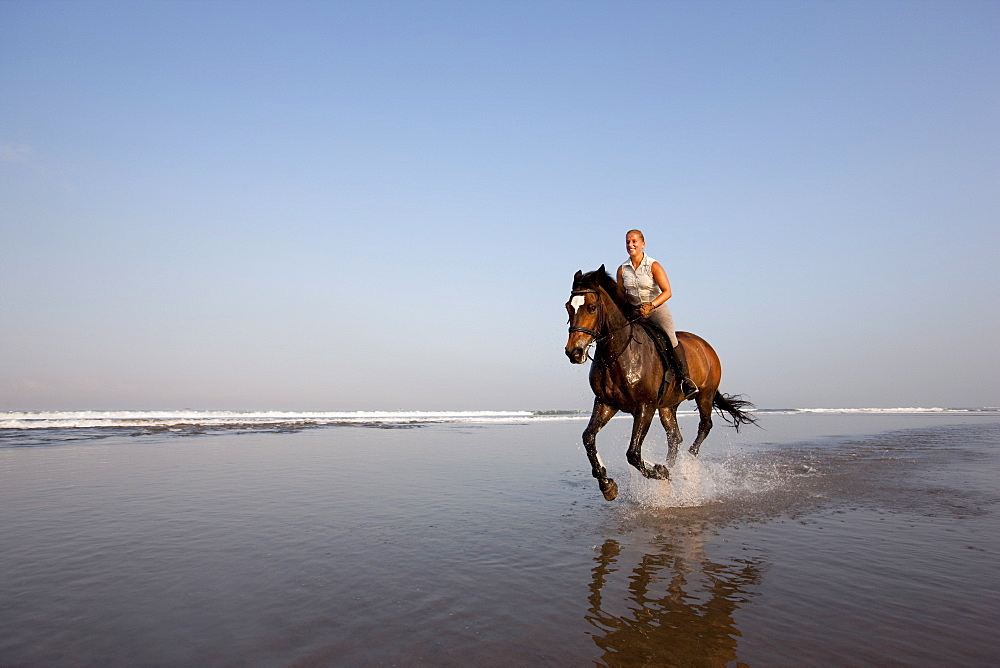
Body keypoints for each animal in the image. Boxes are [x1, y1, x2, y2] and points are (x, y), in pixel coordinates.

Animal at [564, 266, 756, 500]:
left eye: (591, 307)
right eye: (568, 308)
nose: (574, 352)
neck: (619, 353)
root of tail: (706, 346)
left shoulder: (645, 406)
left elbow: (633, 453)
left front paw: (658, 471)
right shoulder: (606, 403)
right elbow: (588, 438)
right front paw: (607, 484)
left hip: (705, 395)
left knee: (704, 425)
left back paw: (687, 463)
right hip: (668, 406)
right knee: (674, 438)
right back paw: (672, 469)